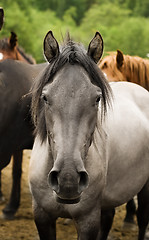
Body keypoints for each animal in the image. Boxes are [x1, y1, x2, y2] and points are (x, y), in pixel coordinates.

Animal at [29, 31, 149, 239]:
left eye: (97, 98)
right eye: (45, 97)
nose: (68, 179)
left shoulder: (88, 220)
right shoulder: (42, 217)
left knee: (142, 218)